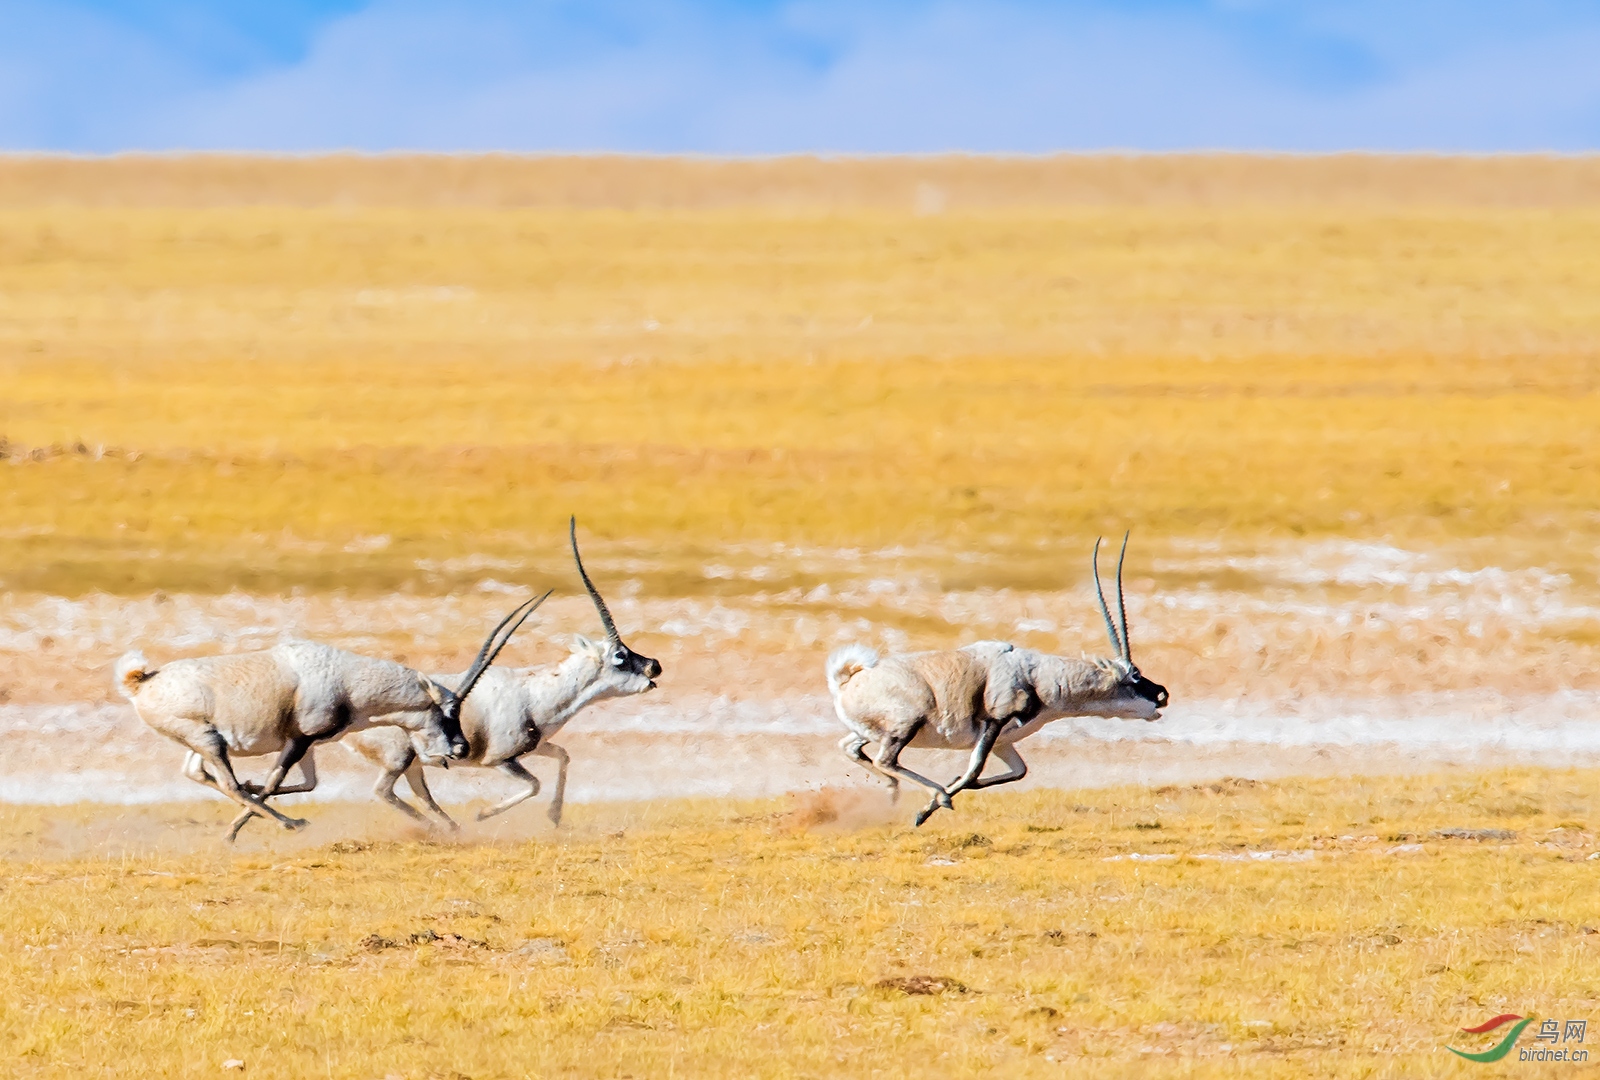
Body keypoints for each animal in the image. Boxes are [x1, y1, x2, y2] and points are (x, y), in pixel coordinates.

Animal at [342, 518, 656, 832]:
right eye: (619, 656)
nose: (654, 665)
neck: (534, 693)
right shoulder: (499, 761)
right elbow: (534, 785)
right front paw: (482, 814)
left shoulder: (536, 748)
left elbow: (563, 756)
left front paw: (554, 817)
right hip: (399, 760)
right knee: (384, 791)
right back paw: (443, 829)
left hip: (414, 764)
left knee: (420, 794)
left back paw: (452, 828)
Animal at [825, 534, 1164, 825]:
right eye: (1135, 675)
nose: (1162, 694)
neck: (1038, 674)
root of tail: (846, 680)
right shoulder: (995, 722)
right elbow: (974, 770)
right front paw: (929, 807)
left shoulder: (1004, 741)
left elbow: (1016, 772)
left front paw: (945, 790)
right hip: (905, 726)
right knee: (885, 760)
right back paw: (935, 796)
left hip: (871, 732)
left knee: (851, 748)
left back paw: (893, 790)